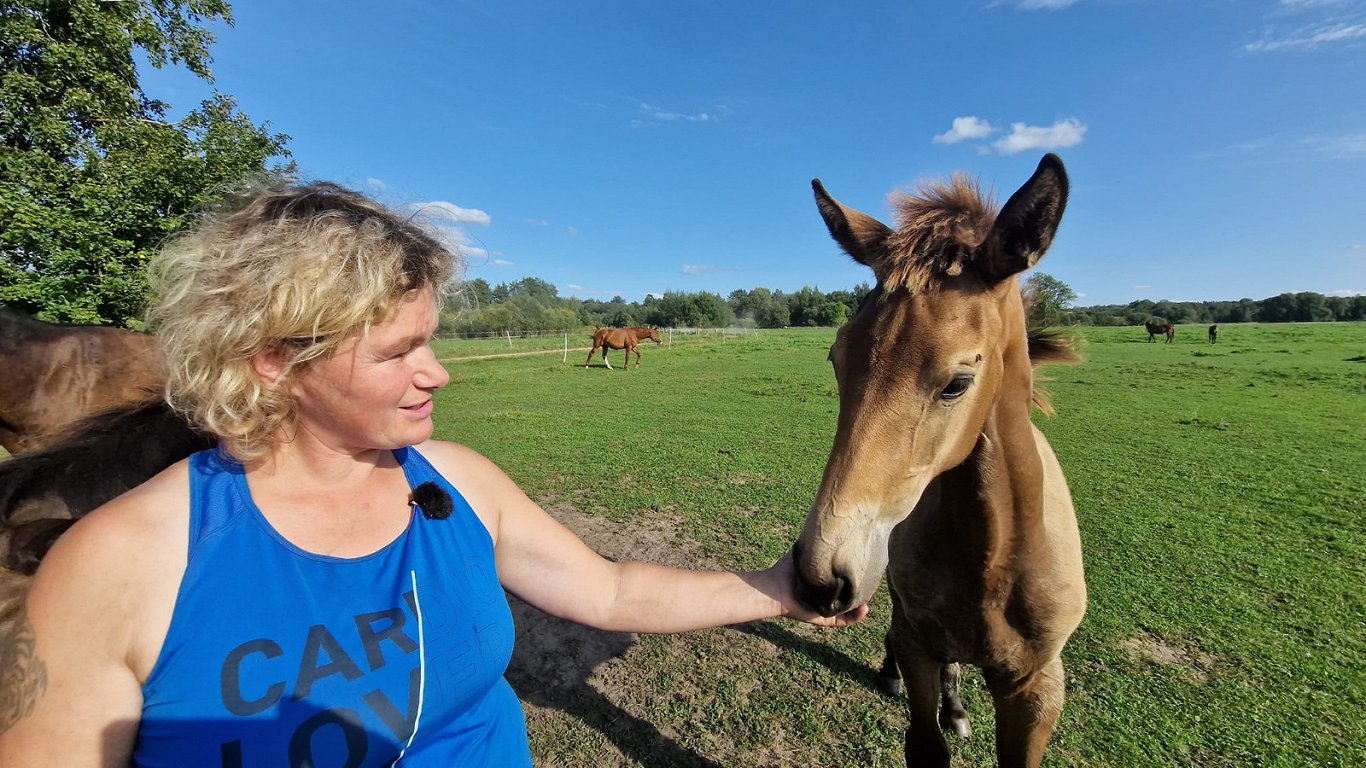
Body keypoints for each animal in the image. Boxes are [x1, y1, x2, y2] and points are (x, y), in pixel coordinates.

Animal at [792, 155, 1087, 765]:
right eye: (837, 359)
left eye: (957, 383)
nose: (819, 577)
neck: (995, 561)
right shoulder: (919, 645)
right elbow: (924, 742)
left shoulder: (1038, 688)